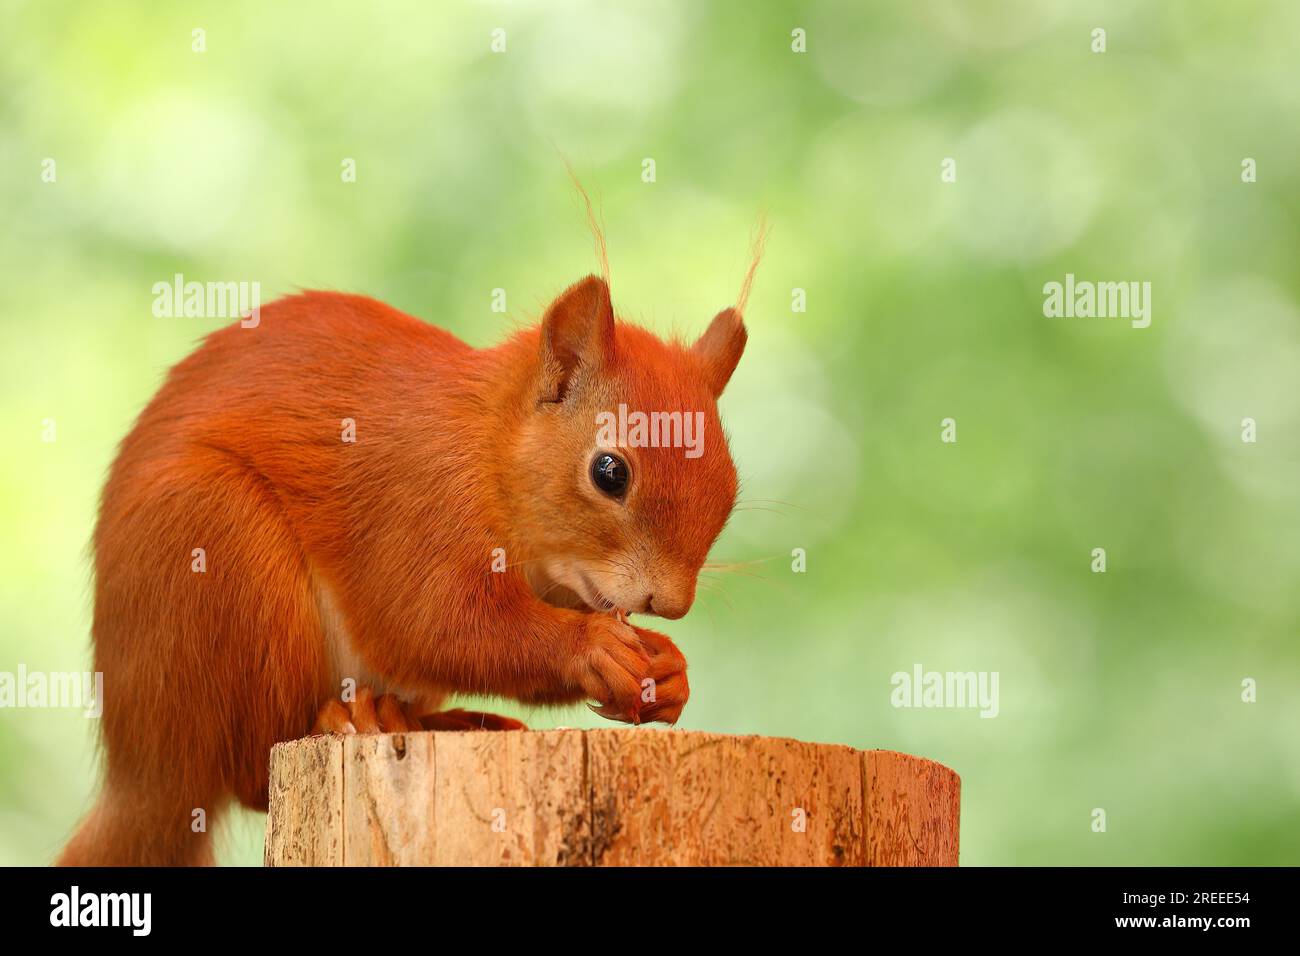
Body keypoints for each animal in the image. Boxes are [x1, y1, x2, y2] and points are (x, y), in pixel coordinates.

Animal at [57, 273, 749, 866]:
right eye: (609, 472)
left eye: (729, 484)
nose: (672, 603)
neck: (486, 445)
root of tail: (140, 771)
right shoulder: (418, 507)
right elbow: (438, 627)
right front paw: (593, 648)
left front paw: (669, 670)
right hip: (215, 540)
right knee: (249, 773)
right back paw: (351, 721)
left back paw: (436, 721)